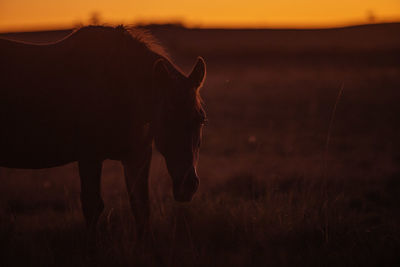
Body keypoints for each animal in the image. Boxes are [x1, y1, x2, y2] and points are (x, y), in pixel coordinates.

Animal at [0, 26, 206, 238]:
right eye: (166, 118)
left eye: (201, 119)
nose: (188, 186)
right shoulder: (89, 157)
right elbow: (92, 206)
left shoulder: (137, 157)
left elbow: (141, 207)